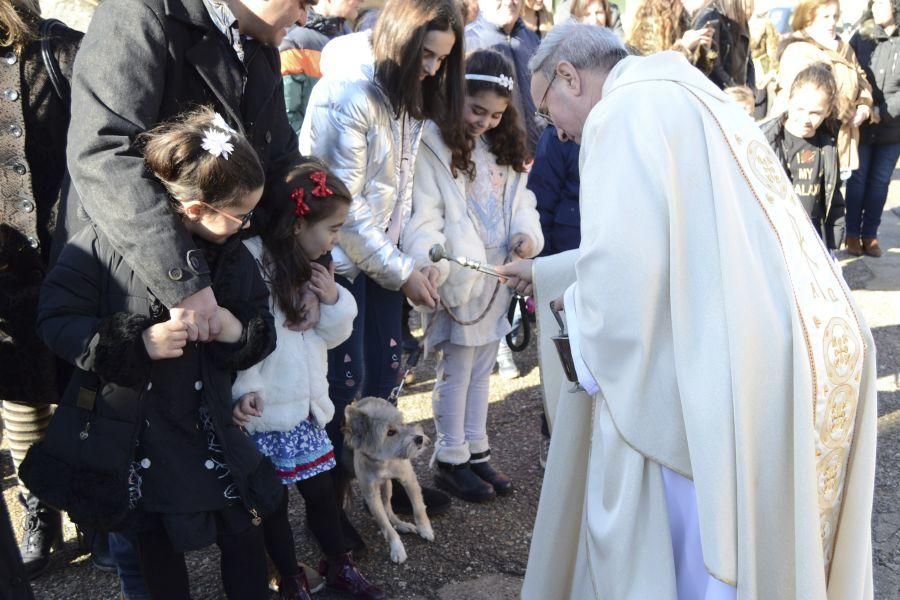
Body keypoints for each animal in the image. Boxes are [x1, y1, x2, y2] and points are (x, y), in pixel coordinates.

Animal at [342, 398, 434, 564]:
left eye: (402, 423)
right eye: (390, 432)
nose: (419, 438)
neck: (383, 461)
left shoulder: (409, 479)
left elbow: (418, 508)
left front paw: (425, 528)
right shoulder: (372, 497)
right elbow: (386, 527)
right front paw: (397, 548)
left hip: (388, 487)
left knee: (388, 507)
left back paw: (402, 524)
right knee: (387, 509)